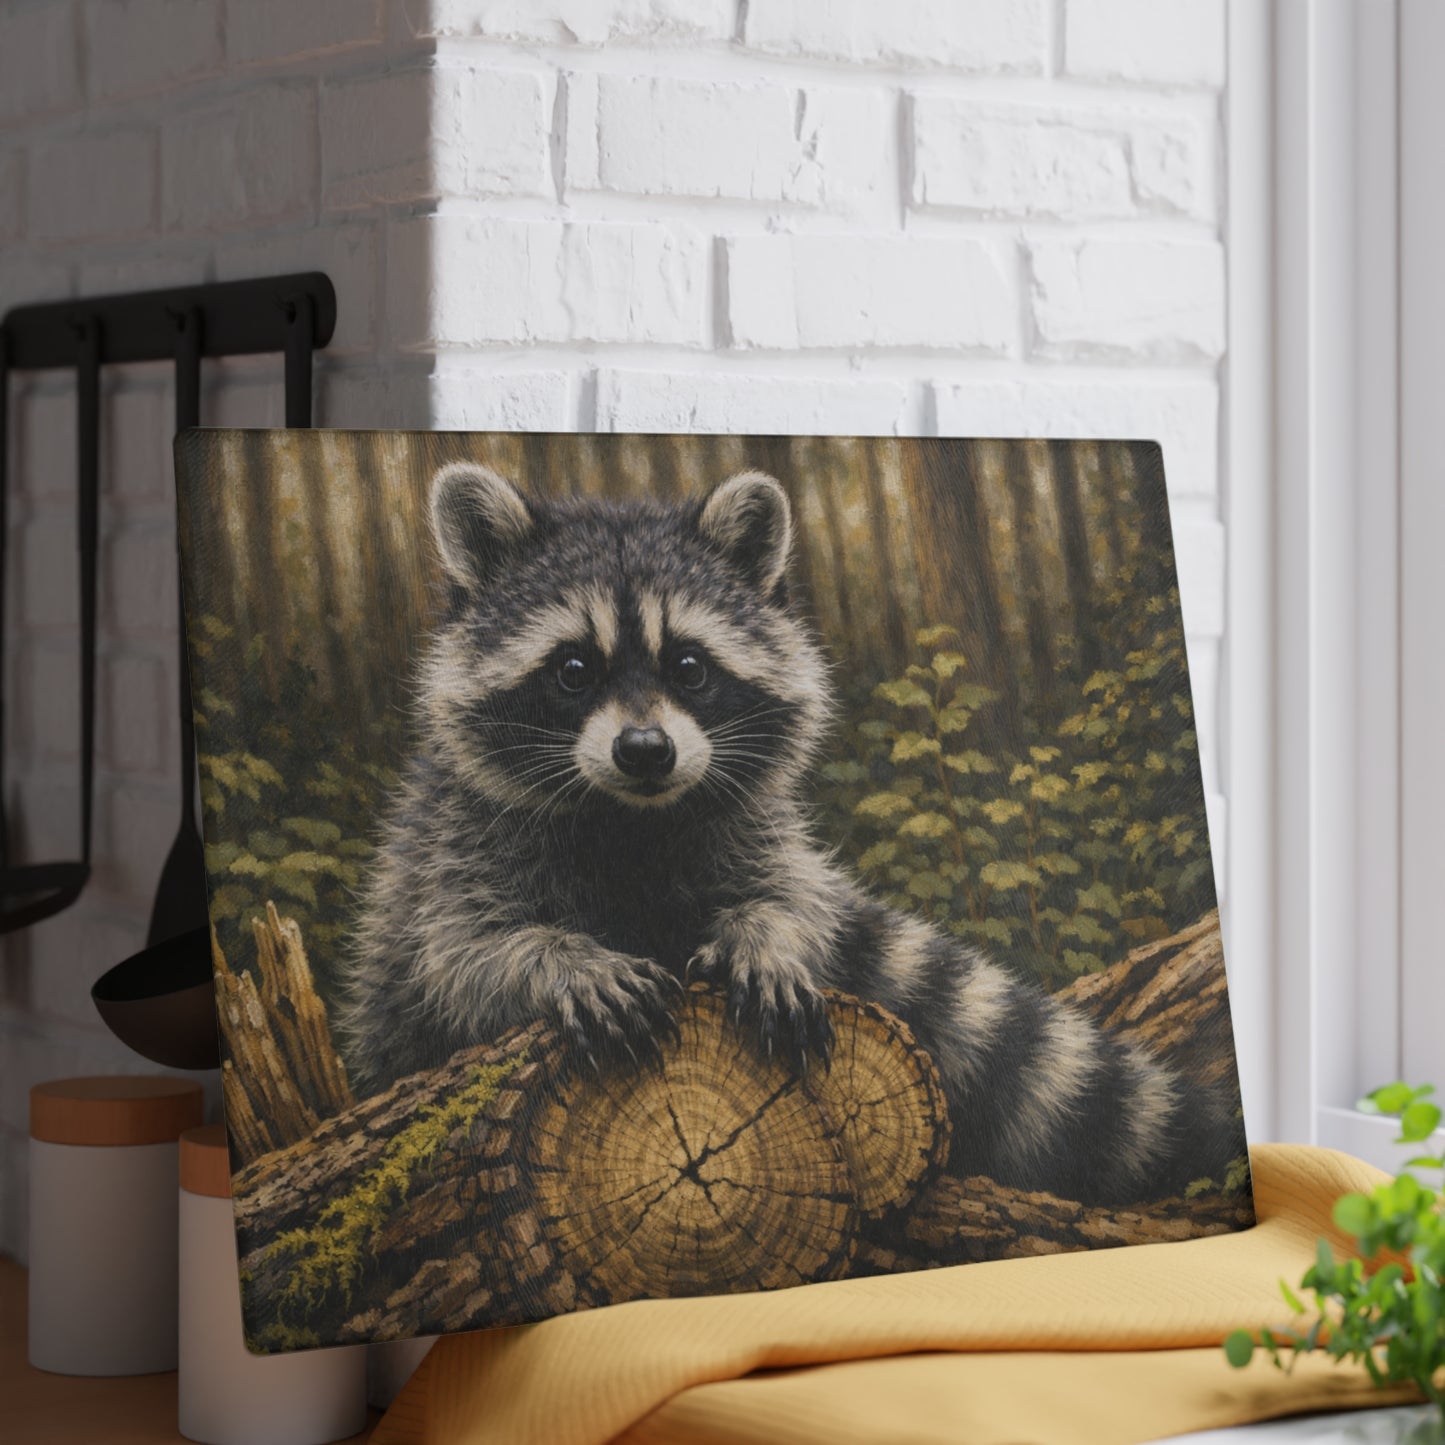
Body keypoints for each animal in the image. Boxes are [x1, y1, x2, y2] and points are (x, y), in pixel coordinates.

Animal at [337, 463, 1240, 1205]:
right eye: (572, 670)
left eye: (689, 666)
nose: (645, 751)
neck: (634, 819)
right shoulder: (456, 842)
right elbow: (458, 957)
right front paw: (562, 961)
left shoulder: (748, 824)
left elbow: (789, 898)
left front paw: (765, 936)